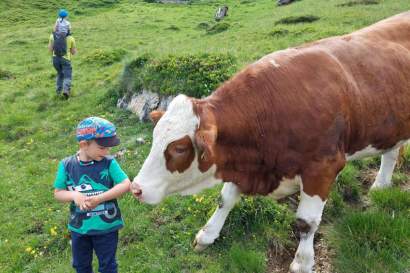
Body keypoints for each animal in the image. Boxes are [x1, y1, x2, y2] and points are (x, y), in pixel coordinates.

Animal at [131, 12, 410, 272]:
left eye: (179, 148)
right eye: (155, 138)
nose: (136, 188)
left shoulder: (323, 167)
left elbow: (306, 222)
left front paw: (302, 263)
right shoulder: (242, 162)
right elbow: (225, 199)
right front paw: (207, 235)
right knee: (391, 152)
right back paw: (380, 186)